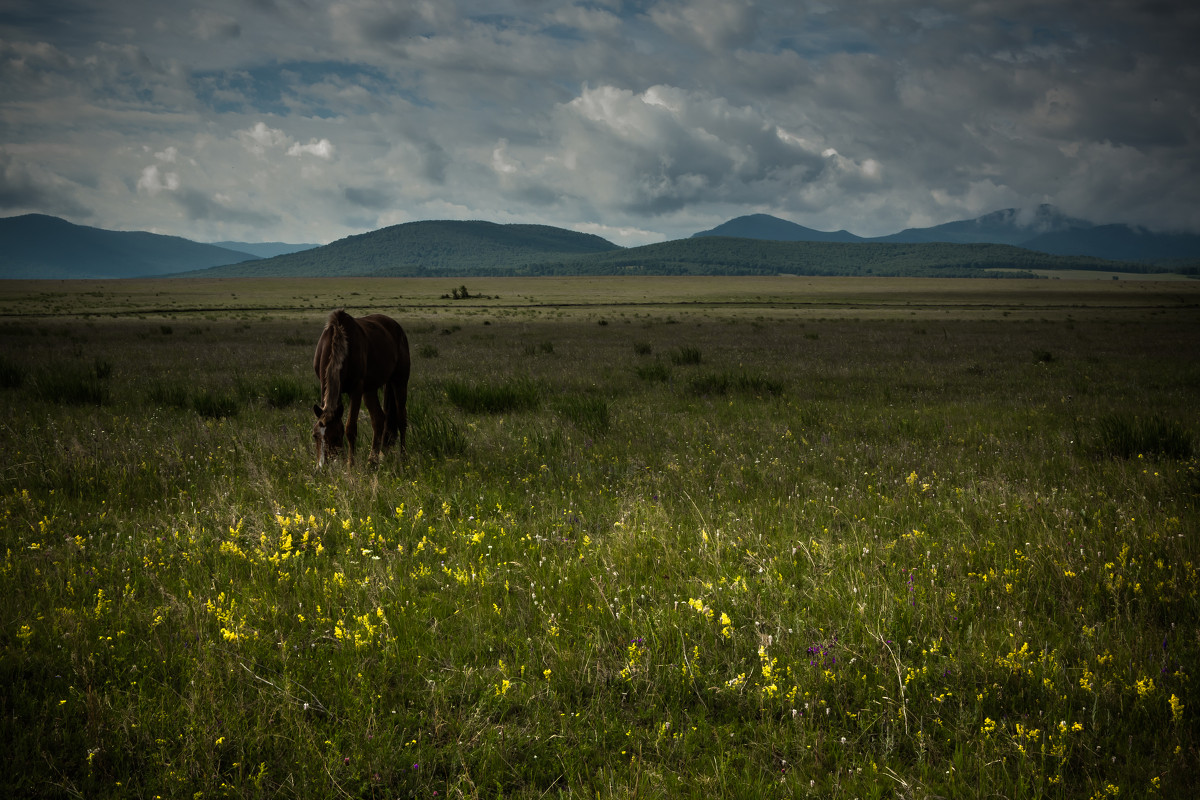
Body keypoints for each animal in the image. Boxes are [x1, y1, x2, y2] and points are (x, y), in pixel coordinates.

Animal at [312, 309, 410, 470]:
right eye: (315, 435)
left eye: (335, 436)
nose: (322, 467)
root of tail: (397, 327)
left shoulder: (356, 390)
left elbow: (350, 428)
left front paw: (350, 464)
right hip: (370, 389)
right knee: (378, 419)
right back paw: (373, 460)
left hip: (399, 382)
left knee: (402, 419)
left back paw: (403, 457)